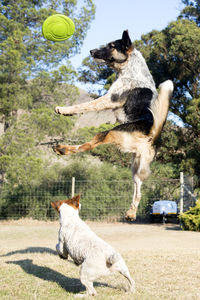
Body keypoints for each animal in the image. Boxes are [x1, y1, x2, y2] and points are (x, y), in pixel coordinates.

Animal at [53, 30, 173, 220]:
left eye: (111, 46)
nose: (91, 51)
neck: (129, 67)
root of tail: (152, 133)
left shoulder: (109, 99)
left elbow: (85, 106)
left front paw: (65, 110)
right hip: (136, 167)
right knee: (138, 191)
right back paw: (131, 213)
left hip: (109, 134)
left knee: (88, 145)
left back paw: (63, 149)